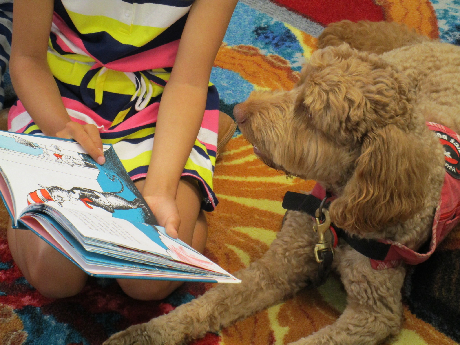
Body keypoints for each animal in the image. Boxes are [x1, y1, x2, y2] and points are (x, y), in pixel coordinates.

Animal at [103, 21, 460, 344]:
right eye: (297, 82)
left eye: (310, 113)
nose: (242, 111)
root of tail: (442, 45)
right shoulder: (282, 263)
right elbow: (212, 302)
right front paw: (144, 333)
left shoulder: (374, 313)